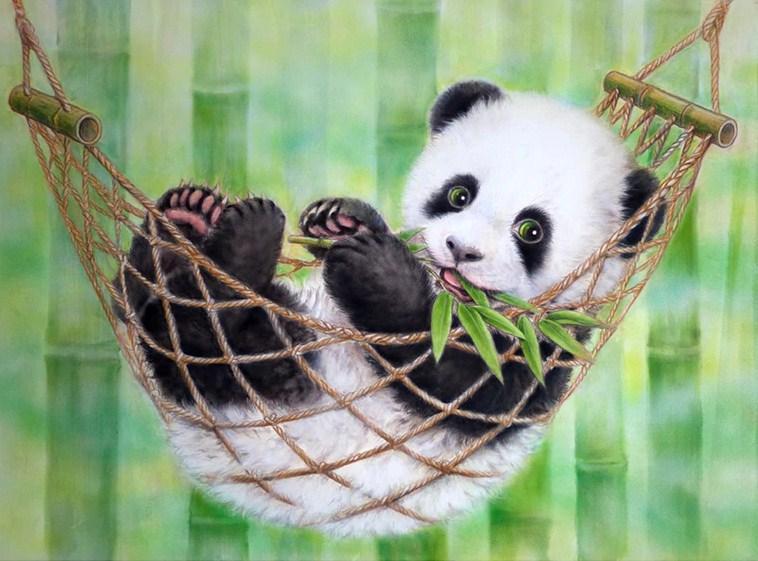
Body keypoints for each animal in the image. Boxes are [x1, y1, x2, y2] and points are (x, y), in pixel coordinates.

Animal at [117, 80, 659, 536]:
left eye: (531, 230)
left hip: (283, 382)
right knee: (144, 306)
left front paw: (375, 269)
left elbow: (453, 380)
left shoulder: (539, 354)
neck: (456, 305)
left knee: (211, 339)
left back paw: (239, 246)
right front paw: (341, 220)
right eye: (459, 193)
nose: (460, 251)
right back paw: (184, 219)